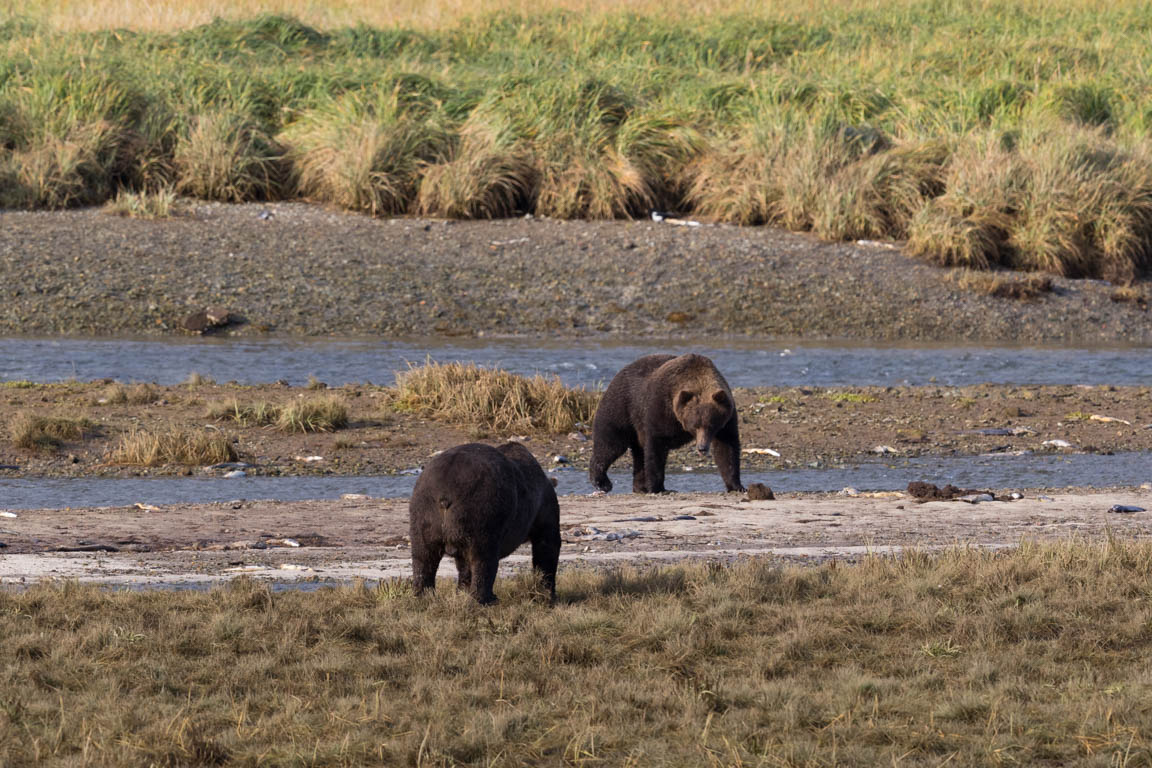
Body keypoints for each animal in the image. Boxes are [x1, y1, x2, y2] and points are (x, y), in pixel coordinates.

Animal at [410, 442, 562, 603]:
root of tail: (445, 492)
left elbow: (463, 564)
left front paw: (462, 590)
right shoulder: (543, 507)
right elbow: (547, 544)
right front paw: (546, 592)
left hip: (423, 508)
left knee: (423, 555)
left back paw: (423, 594)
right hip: (483, 509)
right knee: (483, 556)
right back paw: (485, 598)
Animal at [589, 352, 741, 492]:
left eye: (711, 426)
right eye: (695, 426)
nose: (702, 448)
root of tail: (619, 373)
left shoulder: (727, 420)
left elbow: (727, 449)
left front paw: (736, 486)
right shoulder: (660, 408)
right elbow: (656, 446)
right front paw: (658, 487)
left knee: (638, 454)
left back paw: (640, 487)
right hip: (622, 407)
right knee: (611, 443)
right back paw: (602, 482)